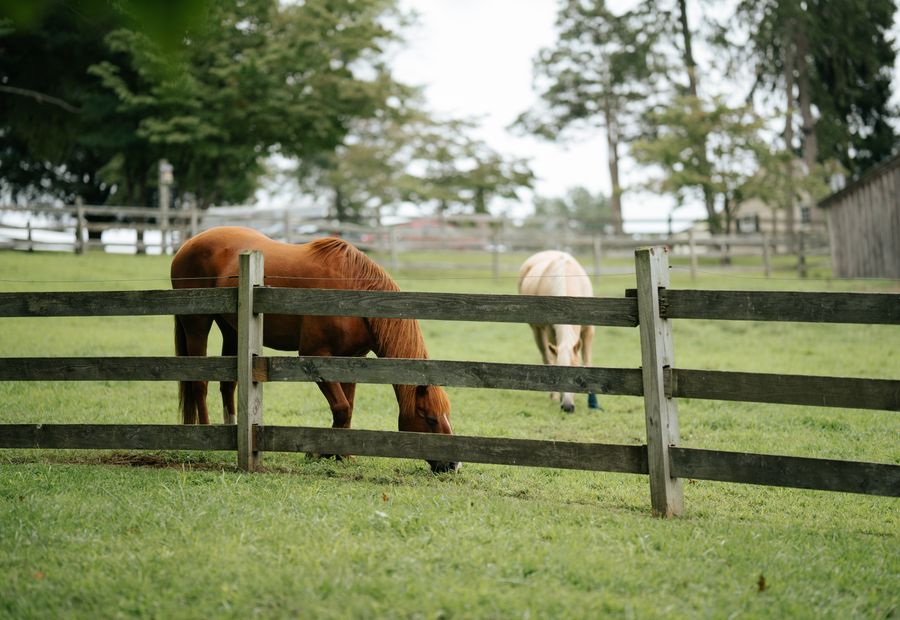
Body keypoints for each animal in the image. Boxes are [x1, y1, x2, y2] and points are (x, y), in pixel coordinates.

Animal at [170, 226, 459, 473]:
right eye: (429, 418)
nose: (454, 465)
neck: (353, 292)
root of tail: (187, 244)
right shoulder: (315, 356)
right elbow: (341, 407)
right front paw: (321, 452)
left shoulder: (350, 360)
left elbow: (348, 408)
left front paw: (343, 454)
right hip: (197, 324)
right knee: (199, 383)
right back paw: (205, 433)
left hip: (231, 329)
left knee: (227, 384)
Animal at [518, 250, 599, 413]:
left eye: (577, 376)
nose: (567, 407)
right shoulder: (551, 330)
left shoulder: (589, 330)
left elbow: (587, 361)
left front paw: (593, 402)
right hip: (537, 330)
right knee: (547, 358)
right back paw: (553, 395)